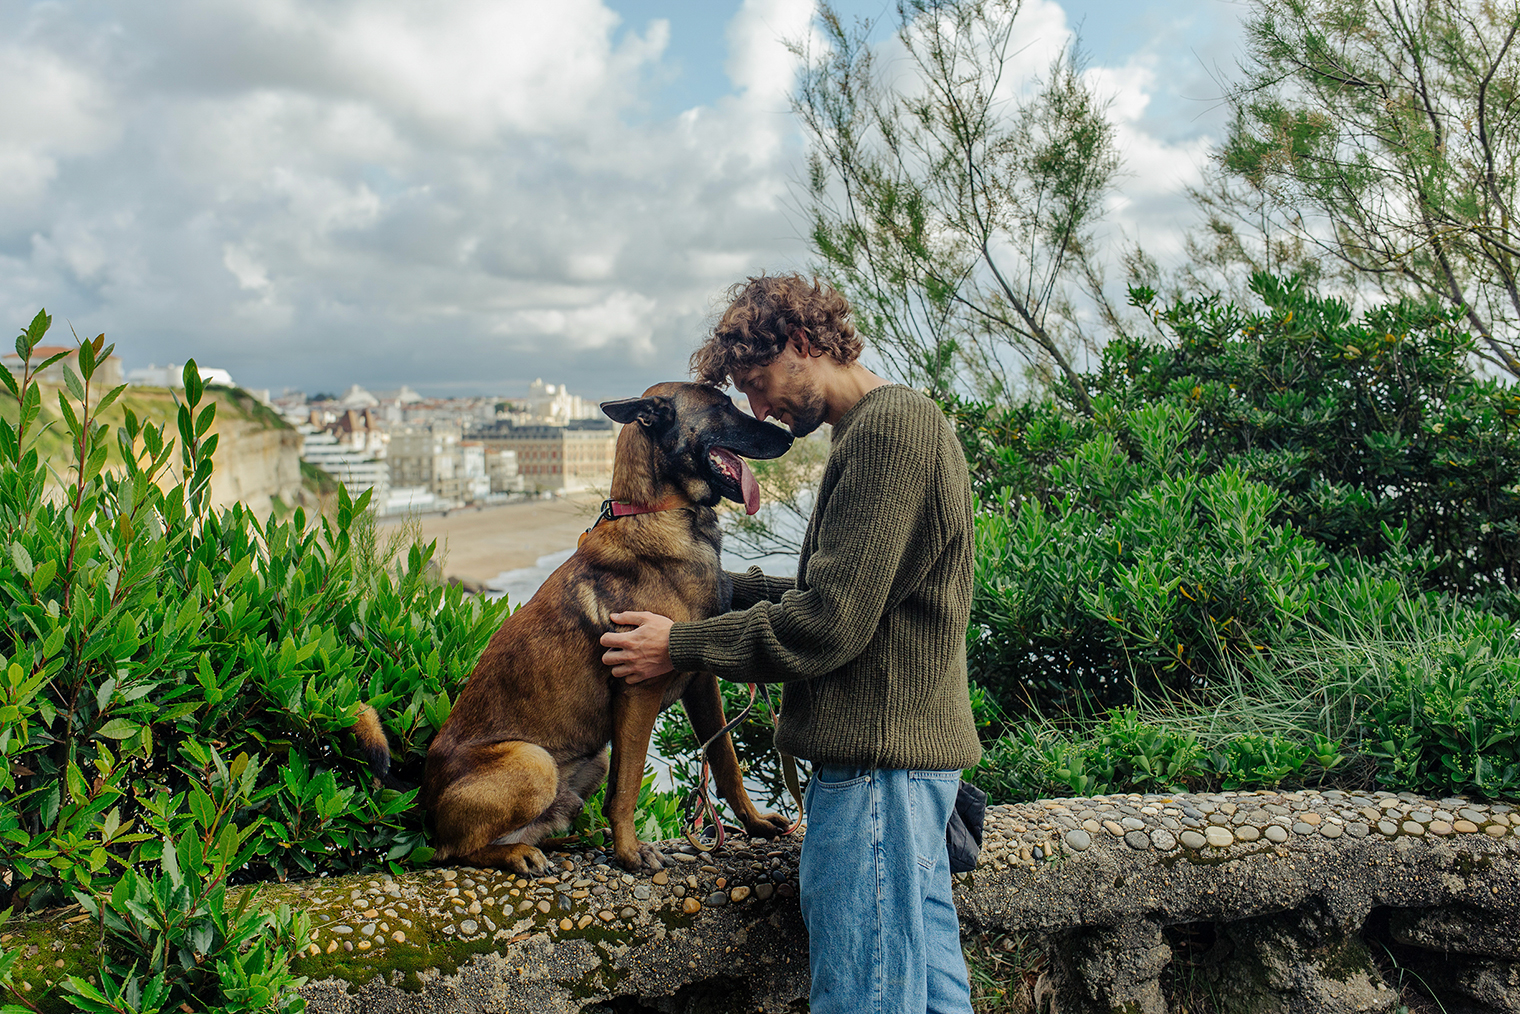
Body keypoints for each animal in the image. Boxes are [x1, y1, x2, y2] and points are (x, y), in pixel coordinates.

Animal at [419, 380, 796, 875]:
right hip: (534, 761)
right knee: (458, 851)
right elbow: (629, 782)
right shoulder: (639, 688)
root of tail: (425, 808)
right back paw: (520, 853)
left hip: (590, 760)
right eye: (722, 406)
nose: (789, 437)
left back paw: (559, 842)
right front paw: (630, 852)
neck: (659, 511)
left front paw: (754, 824)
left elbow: (725, 760)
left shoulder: (700, 680)